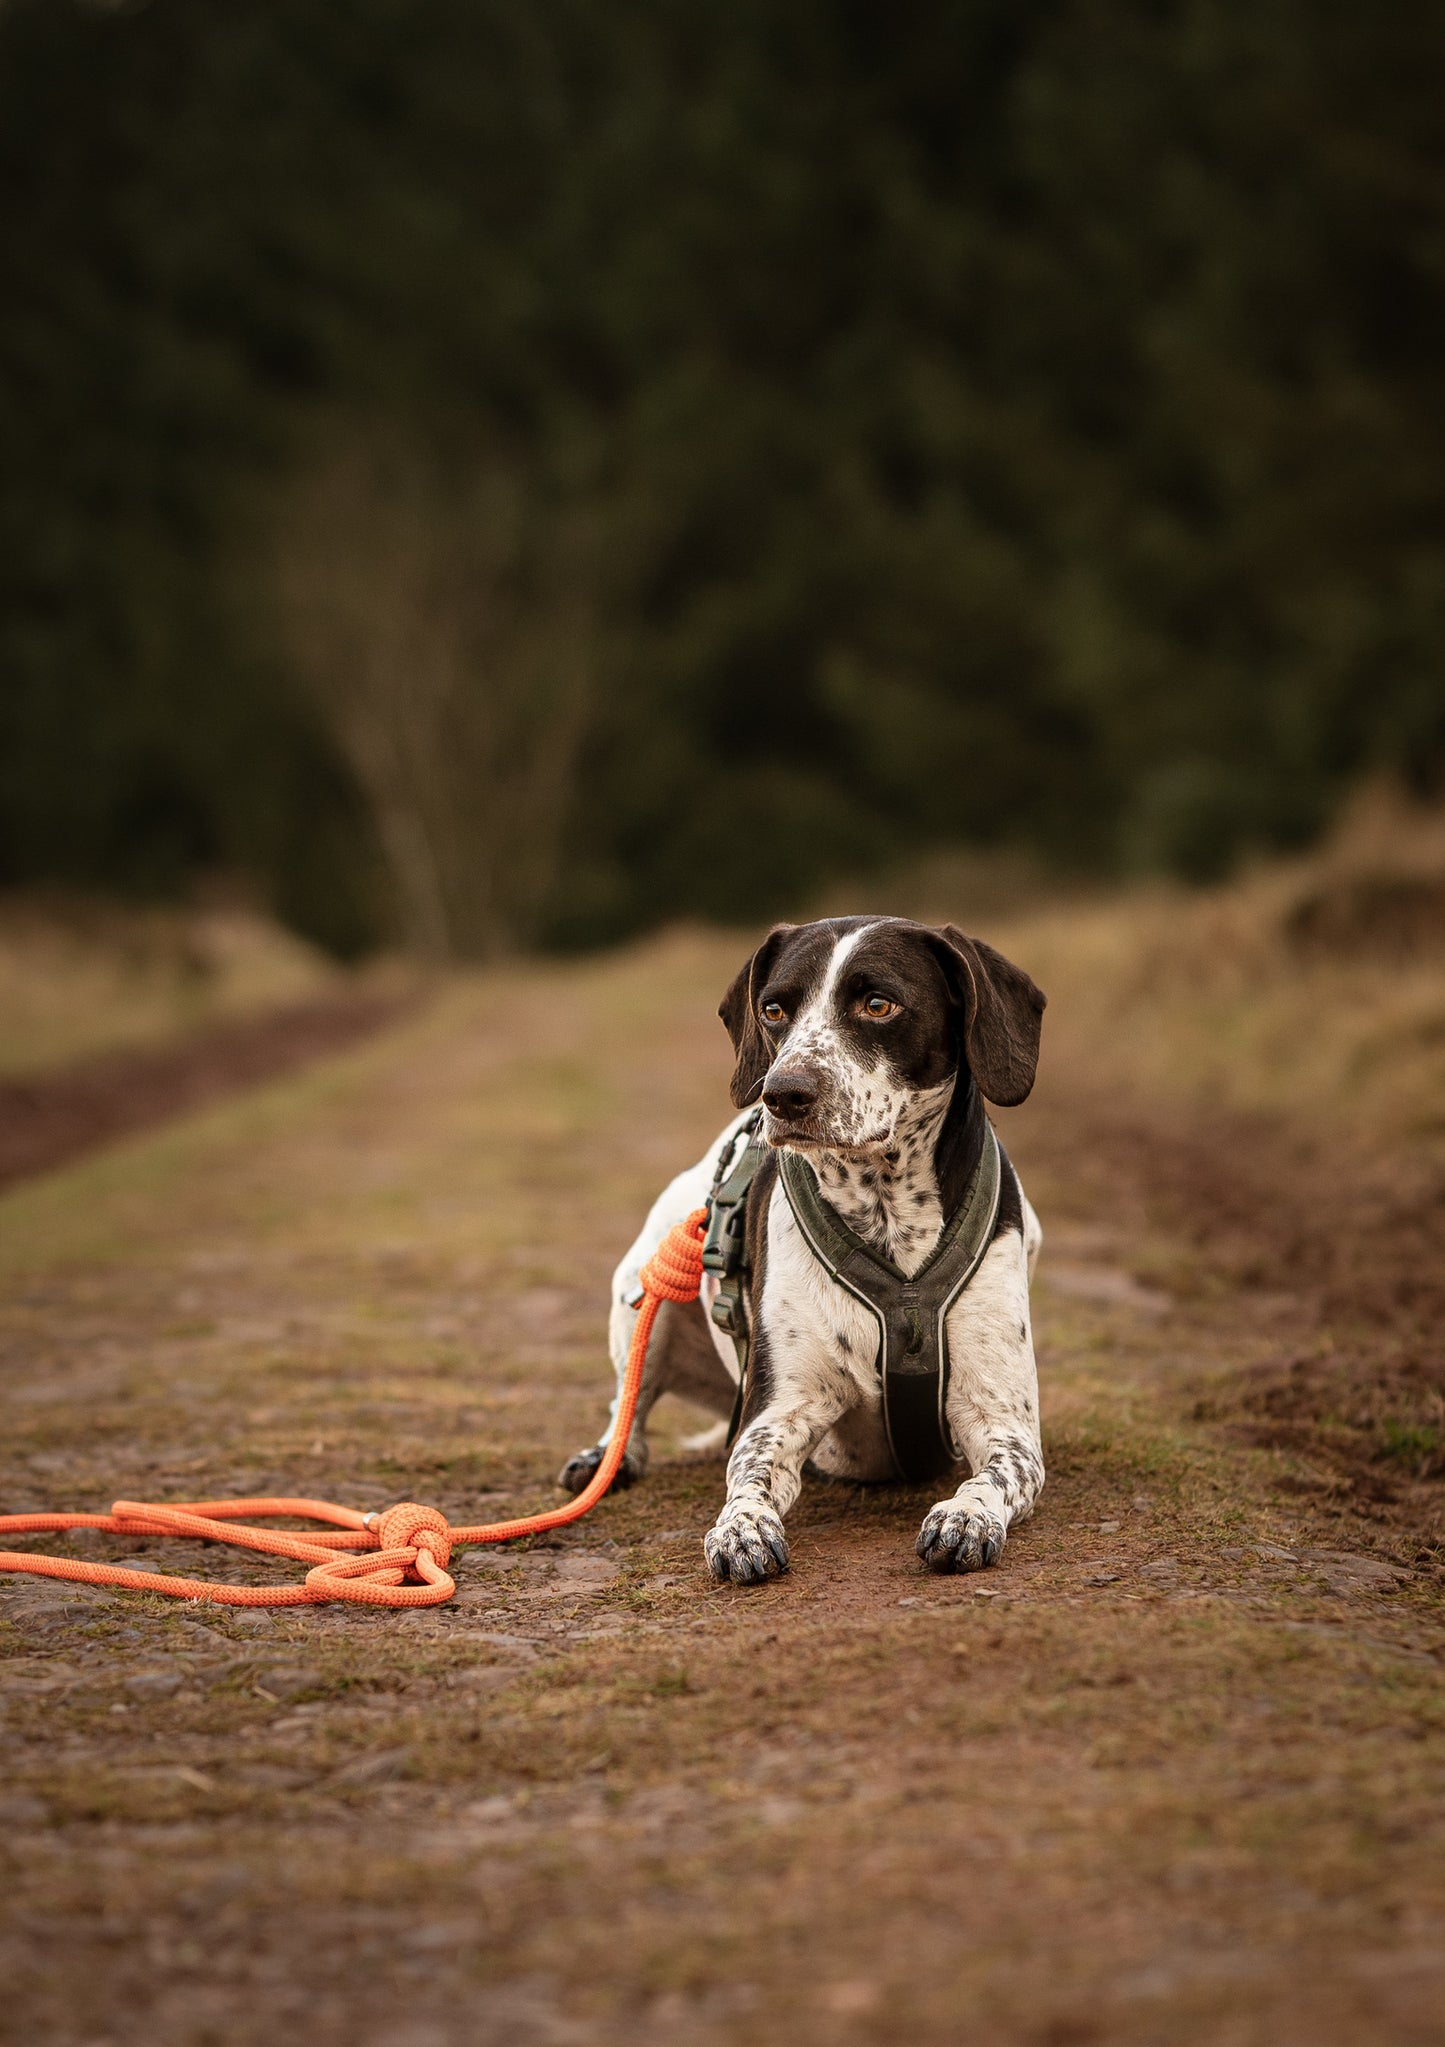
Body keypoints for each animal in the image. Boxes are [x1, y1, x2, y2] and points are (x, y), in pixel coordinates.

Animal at [556, 921, 1039, 1588]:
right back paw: (608, 1455)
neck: (886, 1212)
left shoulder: (1004, 1419)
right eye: (774, 1011)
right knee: (628, 1404)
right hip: (641, 1300)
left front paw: (965, 1516)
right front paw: (742, 1527)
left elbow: (992, 1477)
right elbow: (749, 1474)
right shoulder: (779, 1411)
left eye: (879, 1005)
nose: (780, 1094)